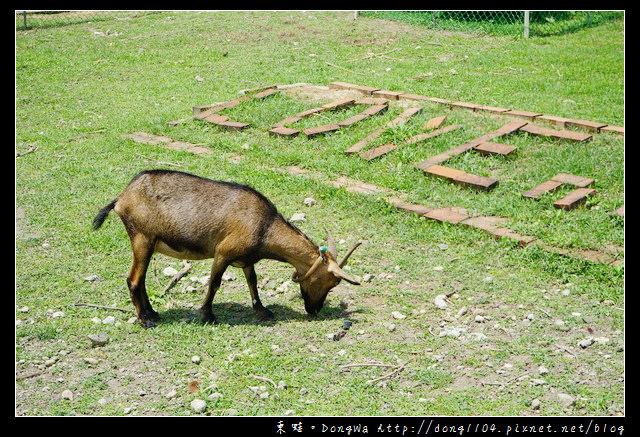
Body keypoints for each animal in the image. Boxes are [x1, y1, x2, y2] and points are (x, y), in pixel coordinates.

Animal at [91, 169, 360, 326]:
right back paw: (144, 319)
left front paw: (263, 311)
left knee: (141, 279)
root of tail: (122, 198)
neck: (265, 226)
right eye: (330, 282)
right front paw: (207, 315)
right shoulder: (223, 252)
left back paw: (152, 313)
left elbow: (252, 282)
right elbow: (214, 283)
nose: (314, 309)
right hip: (142, 238)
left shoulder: (246, 259)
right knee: (134, 280)